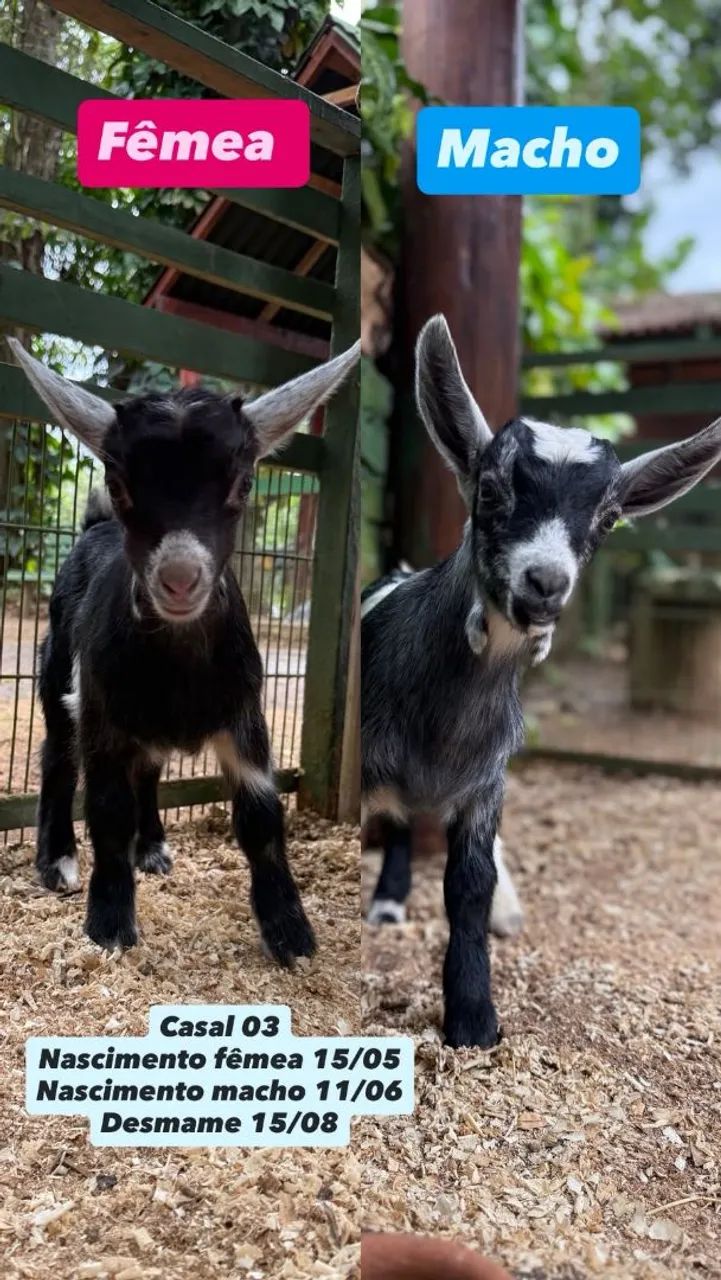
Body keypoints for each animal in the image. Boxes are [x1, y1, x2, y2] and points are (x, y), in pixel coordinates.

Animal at [9, 336, 359, 961]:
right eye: (119, 484)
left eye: (243, 484)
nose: (178, 579)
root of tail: (92, 527)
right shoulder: (102, 714)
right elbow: (107, 810)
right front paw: (109, 925)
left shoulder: (246, 716)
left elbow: (261, 817)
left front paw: (290, 934)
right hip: (55, 676)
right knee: (56, 758)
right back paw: (57, 862)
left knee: (149, 772)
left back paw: (152, 848)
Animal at [361, 314, 721, 1048]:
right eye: (490, 488)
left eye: (608, 518)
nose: (545, 582)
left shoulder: (487, 783)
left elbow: (469, 884)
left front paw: (473, 1016)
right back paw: (386, 902)